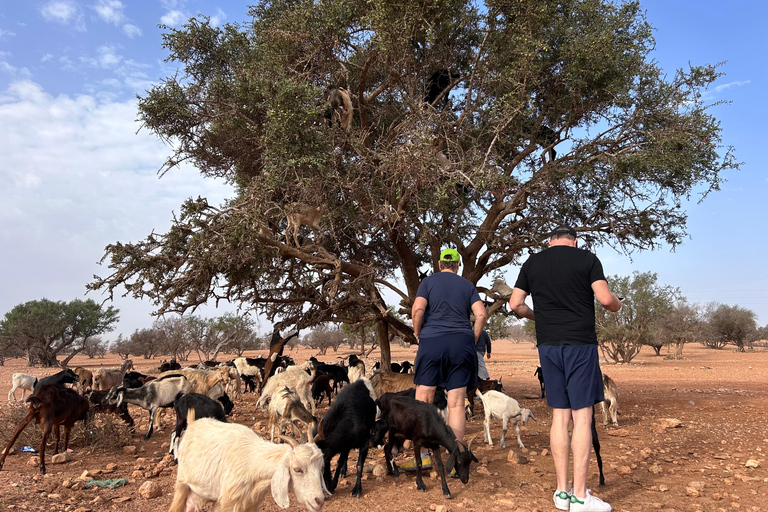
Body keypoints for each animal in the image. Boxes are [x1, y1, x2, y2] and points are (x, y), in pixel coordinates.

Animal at [170, 416, 326, 512]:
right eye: (297, 469)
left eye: (321, 467)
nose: (319, 501)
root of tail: (193, 424)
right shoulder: (227, 503)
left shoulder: (251, 504)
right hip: (182, 482)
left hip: (201, 492)